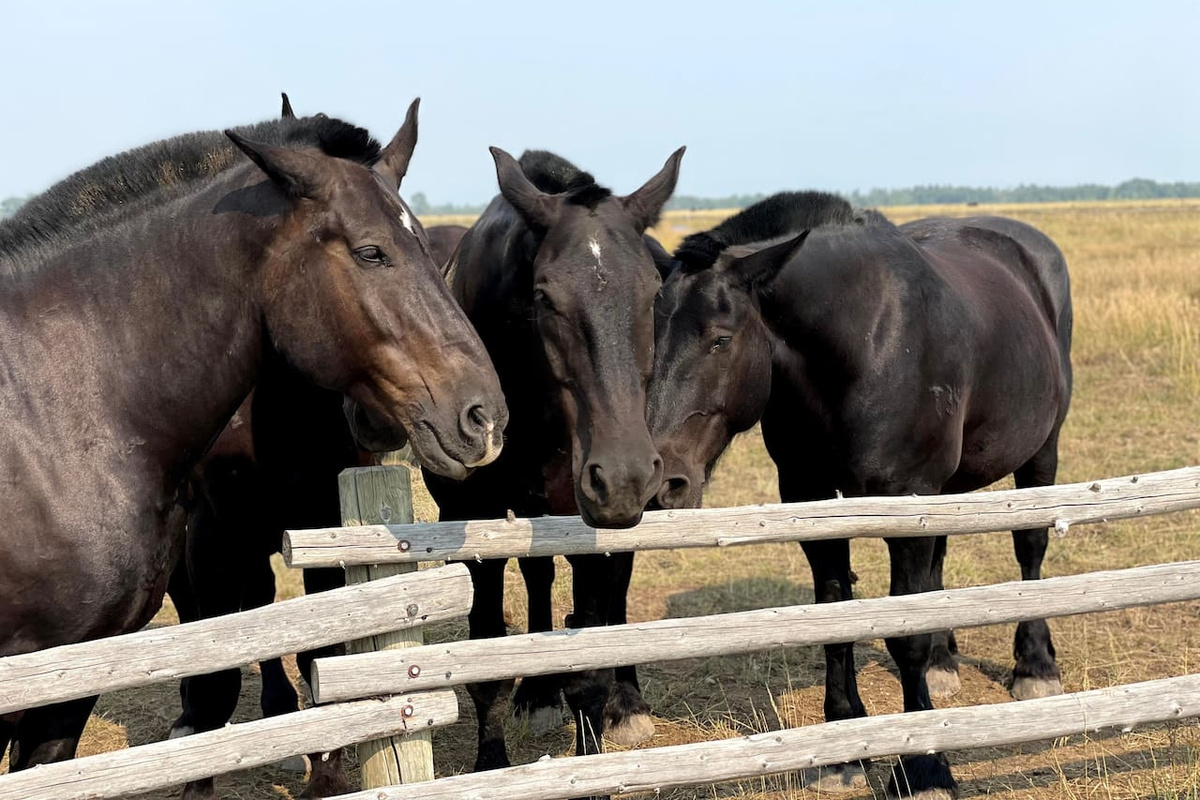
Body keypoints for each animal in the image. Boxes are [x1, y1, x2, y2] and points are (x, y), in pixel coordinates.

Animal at [422, 146, 684, 787]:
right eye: (543, 297)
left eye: (653, 294)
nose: (623, 474)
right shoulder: (472, 518)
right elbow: (488, 653)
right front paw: (491, 760)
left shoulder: (587, 517)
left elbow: (589, 661)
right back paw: (537, 694)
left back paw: (627, 705)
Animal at [646, 192, 1072, 798]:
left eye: (720, 339)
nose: (661, 483)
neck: (867, 345)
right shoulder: (810, 499)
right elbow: (837, 615)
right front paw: (842, 748)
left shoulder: (906, 501)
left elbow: (904, 635)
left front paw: (925, 766)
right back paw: (945, 664)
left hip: (1041, 452)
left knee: (1030, 549)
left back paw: (1035, 668)